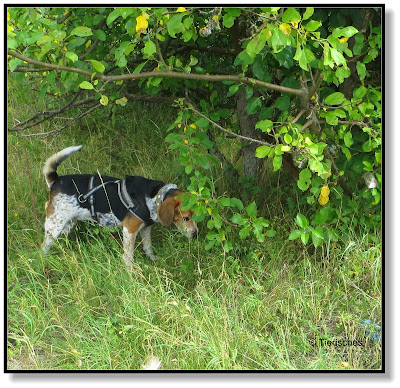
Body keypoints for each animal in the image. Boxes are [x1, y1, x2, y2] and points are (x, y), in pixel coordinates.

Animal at [41, 146, 198, 266]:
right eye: (185, 218)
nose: (196, 234)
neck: (154, 196)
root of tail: (56, 181)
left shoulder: (146, 227)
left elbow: (148, 247)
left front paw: (153, 259)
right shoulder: (129, 230)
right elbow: (128, 256)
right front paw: (131, 272)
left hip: (68, 223)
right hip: (54, 226)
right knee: (44, 246)